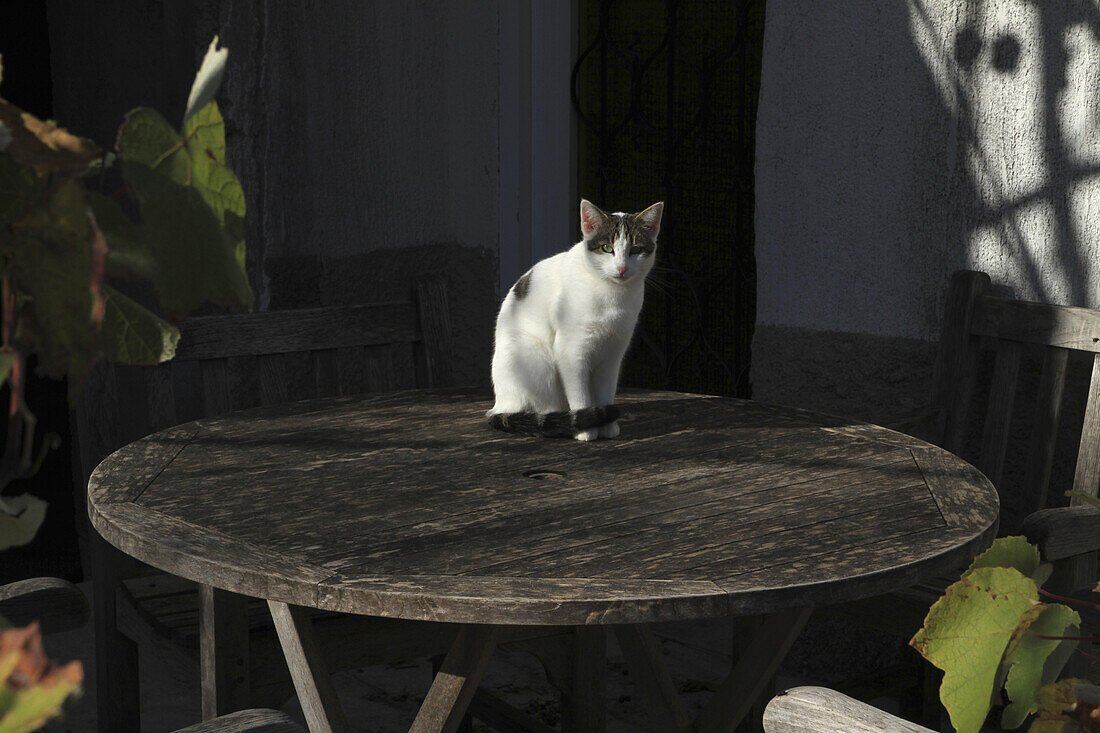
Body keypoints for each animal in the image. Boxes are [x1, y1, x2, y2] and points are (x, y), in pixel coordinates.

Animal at [488, 197, 660, 440]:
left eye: (636, 250)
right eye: (607, 248)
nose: (621, 268)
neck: (612, 295)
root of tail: (500, 404)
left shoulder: (613, 354)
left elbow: (606, 391)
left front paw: (607, 425)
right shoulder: (571, 351)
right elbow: (580, 394)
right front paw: (586, 429)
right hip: (537, 358)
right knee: (543, 407)